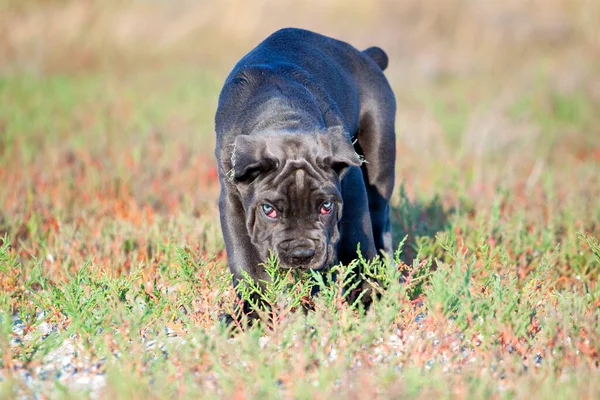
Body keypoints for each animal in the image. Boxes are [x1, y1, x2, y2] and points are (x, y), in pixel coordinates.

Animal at [213, 27, 396, 304]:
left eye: (326, 207)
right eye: (268, 210)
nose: (301, 253)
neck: (281, 119)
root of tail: (366, 56)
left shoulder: (352, 186)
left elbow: (357, 240)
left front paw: (365, 294)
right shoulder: (232, 198)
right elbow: (245, 258)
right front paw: (253, 306)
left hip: (379, 163)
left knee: (379, 221)